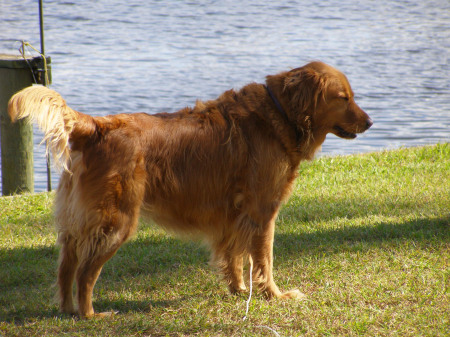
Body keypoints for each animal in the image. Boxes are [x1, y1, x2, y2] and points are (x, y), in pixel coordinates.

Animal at [7, 61, 372, 318]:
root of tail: (97, 125)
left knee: (66, 268)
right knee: (84, 273)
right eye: (343, 98)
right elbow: (263, 260)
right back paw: (91, 315)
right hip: (115, 221)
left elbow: (234, 257)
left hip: (76, 222)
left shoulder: (235, 215)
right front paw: (273, 295)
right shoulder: (262, 212)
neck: (279, 113)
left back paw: (69, 311)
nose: (370, 122)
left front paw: (238, 290)